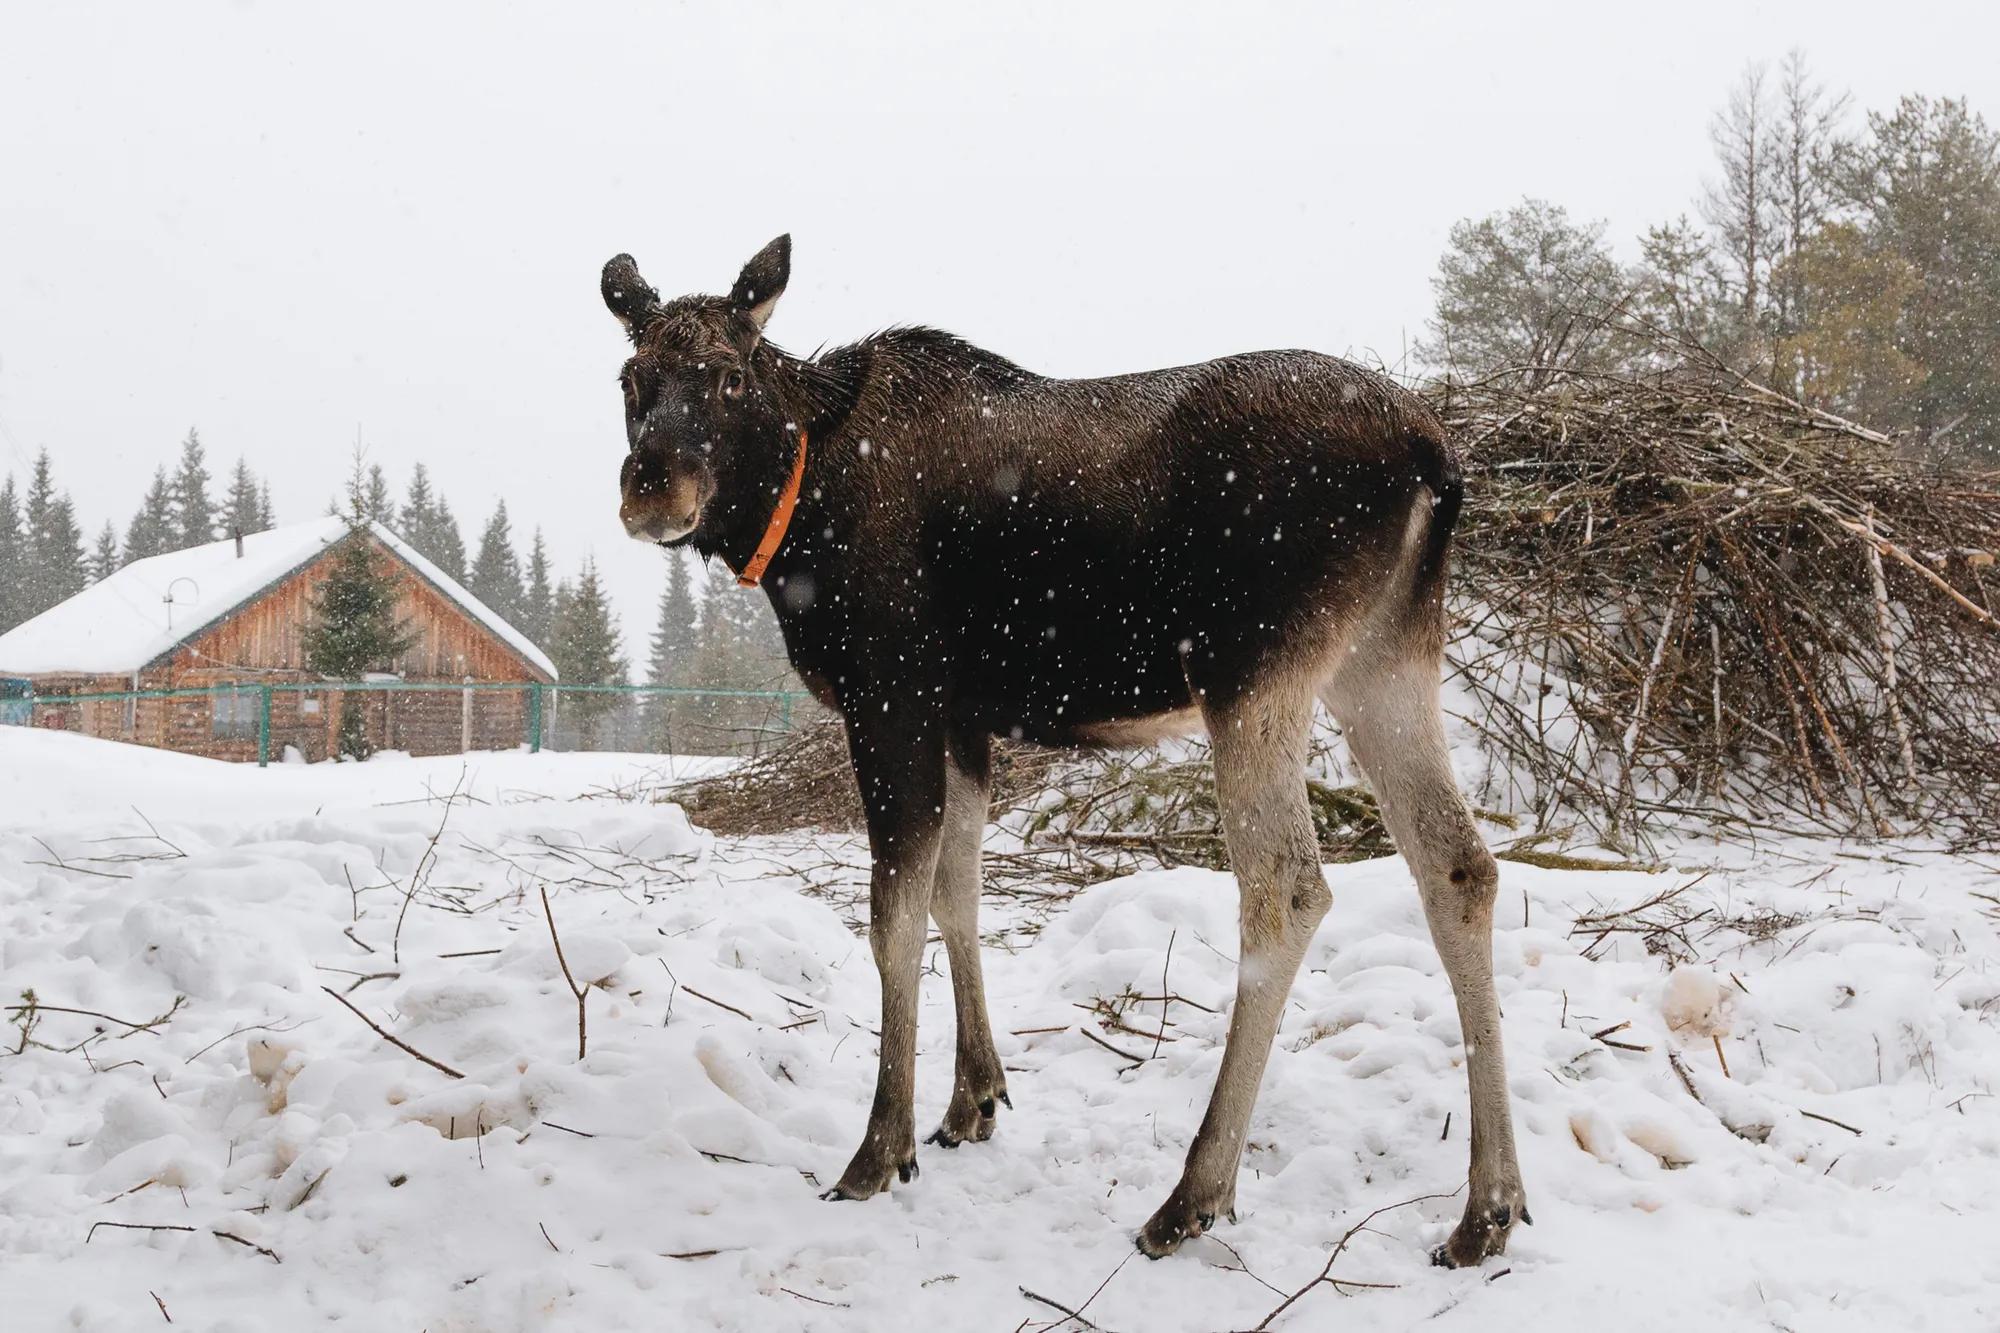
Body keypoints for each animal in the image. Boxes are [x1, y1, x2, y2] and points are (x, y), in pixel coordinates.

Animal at [601, 236, 1528, 1267]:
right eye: (630, 380)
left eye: (729, 376)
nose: (652, 486)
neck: (799, 516)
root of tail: (1437, 460)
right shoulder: (964, 718)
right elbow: (956, 894)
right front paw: (972, 1099)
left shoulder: (892, 693)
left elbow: (892, 916)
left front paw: (879, 1148)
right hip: (1383, 657)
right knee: (1459, 865)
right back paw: (1487, 1208)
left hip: (1252, 670)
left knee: (1288, 887)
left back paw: (1195, 1191)